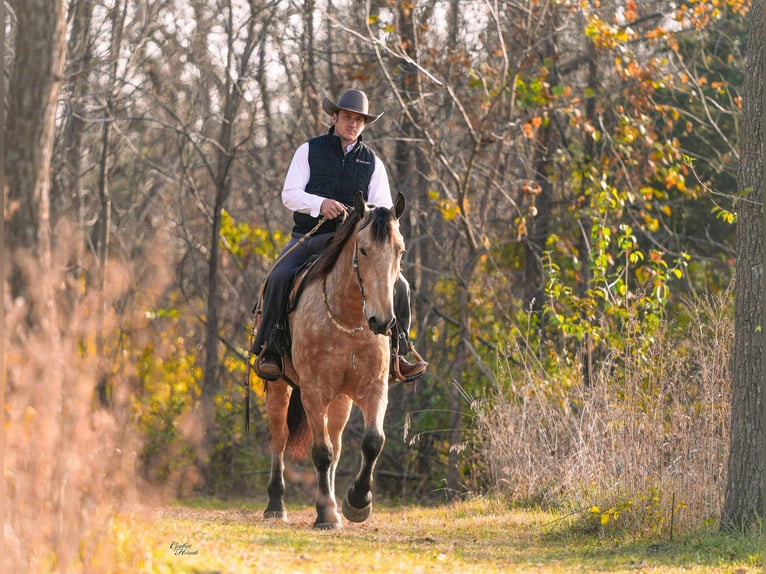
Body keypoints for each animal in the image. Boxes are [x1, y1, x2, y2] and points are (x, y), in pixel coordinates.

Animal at [262, 191, 406, 529]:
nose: (382, 321)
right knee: (279, 440)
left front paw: (357, 502)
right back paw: (276, 505)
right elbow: (321, 452)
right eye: (363, 249)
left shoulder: (374, 389)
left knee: (337, 443)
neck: (348, 318)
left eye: (400, 251)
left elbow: (372, 441)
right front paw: (326, 513)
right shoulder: (314, 392)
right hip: (279, 388)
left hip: (341, 399)